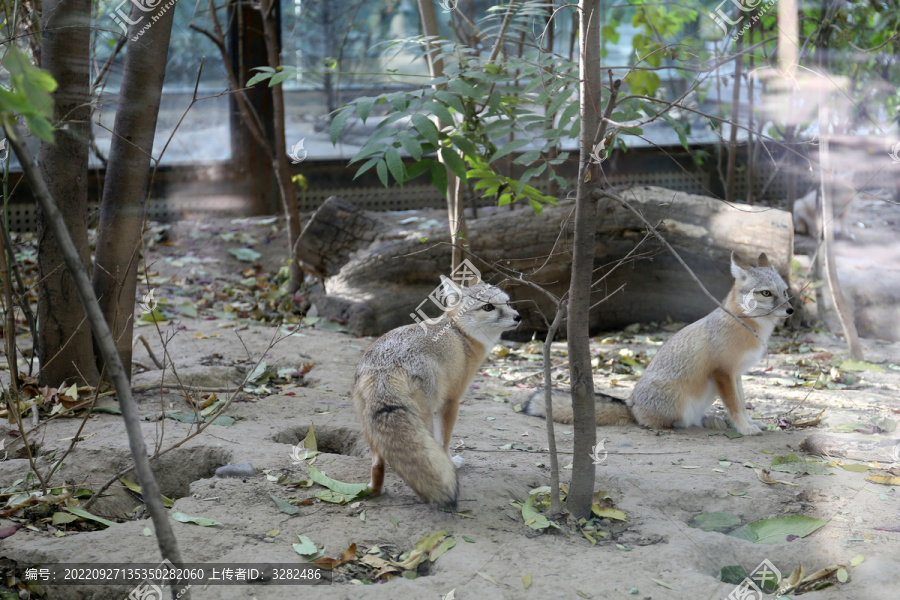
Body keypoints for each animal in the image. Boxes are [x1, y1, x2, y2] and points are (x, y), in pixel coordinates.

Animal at [352, 274, 520, 508]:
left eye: (507, 302)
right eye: (488, 307)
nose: (518, 317)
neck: (461, 334)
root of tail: (383, 368)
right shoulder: (451, 401)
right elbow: (444, 442)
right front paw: (451, 463)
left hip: (369, 426)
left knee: (377, 463)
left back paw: (376, 490)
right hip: (425, 416)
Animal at [524, 253, 792, 436]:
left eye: (785, 292)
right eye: (766, 293)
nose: (791, 310)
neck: (747, 327)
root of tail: (631, 404)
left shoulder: (736, 374)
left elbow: (742, 403)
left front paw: (750, 422)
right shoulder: (723, 372)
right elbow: (735, 406)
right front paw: (744, 428)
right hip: (679, 401)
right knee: (655, 422)